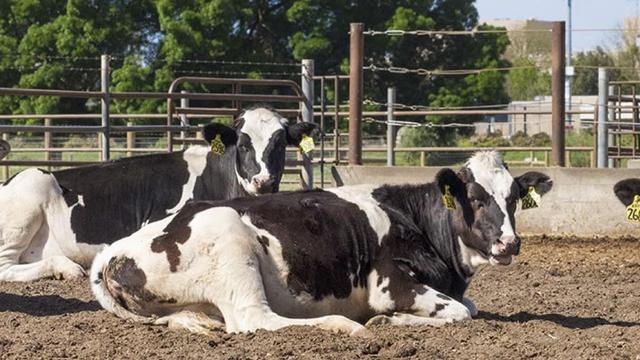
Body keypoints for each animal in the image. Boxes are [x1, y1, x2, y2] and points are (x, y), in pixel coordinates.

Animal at [0, 108, 316, 282]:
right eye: (242, 144)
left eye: (279, 144)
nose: (263, 181)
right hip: (31, 189)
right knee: (5, 266)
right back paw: (65, 267)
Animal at [90, 150, 552, 336]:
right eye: (474, 198)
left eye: (514, 198)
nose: (509, 243)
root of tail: (113, 251)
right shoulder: (390, 284)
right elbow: (461, 312)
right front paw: (386, 322)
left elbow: (468, 306)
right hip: (231, 244)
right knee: (256, 320)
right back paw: (343, 325)